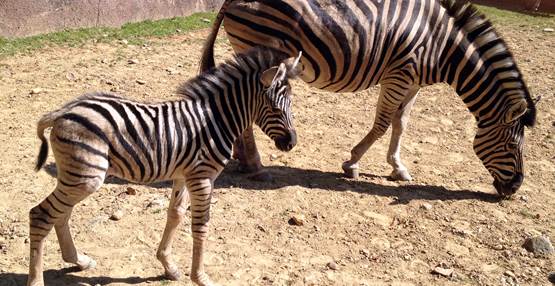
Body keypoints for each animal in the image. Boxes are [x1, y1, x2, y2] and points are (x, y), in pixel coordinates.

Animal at [28, 47, 302, 286]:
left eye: (292, 105)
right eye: (275, 108)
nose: (291, 143)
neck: (216, 120)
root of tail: (62, 112)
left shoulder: (183, 174)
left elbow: (175, 215)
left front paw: (168, 265)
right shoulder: (203, 177)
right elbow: (201, 225)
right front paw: (200, 278)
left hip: (75, 176)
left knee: (61, 214)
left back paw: (79, 261)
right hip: (86, 176)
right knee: (41, 214)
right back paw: (37, 279)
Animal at [200, 0, 540, 197]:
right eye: (512, 146)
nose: (515, 188)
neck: (443, 45)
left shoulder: (414, 82)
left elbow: (401, 124)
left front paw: (398, 168)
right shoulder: (399, 73)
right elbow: (382, 124)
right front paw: (352, 163)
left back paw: (244, 159)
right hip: (257, 47)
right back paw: (255, 165)